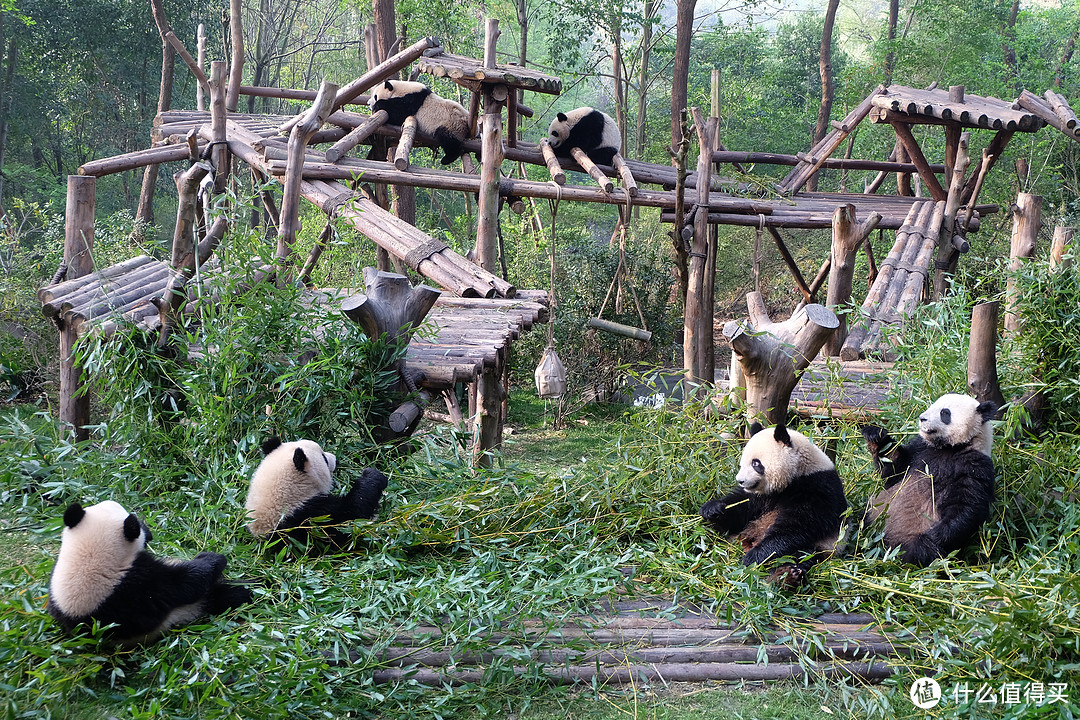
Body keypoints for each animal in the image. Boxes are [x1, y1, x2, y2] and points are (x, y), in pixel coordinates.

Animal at [695, 423, 846, 587]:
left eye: (755, 463)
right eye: (742, 464)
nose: (740, 481)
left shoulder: (818, 489)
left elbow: (796, 528)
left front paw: (754, 557)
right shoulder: (760, 496)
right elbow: (740, 508)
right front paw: (713, 508)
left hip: (821, 546)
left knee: (799, 556)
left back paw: (786, 576)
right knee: (704, 534)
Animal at [859, 390, 993, 565]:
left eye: (945, 413)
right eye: (932, 405)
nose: (922, 418)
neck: (949, 448)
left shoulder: (974, 466)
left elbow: (968, 505)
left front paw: (935, 534)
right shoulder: (919, 450)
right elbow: (893, 469)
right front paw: (876, 435)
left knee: (920, 551)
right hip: (875, 511)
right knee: (859, 519)